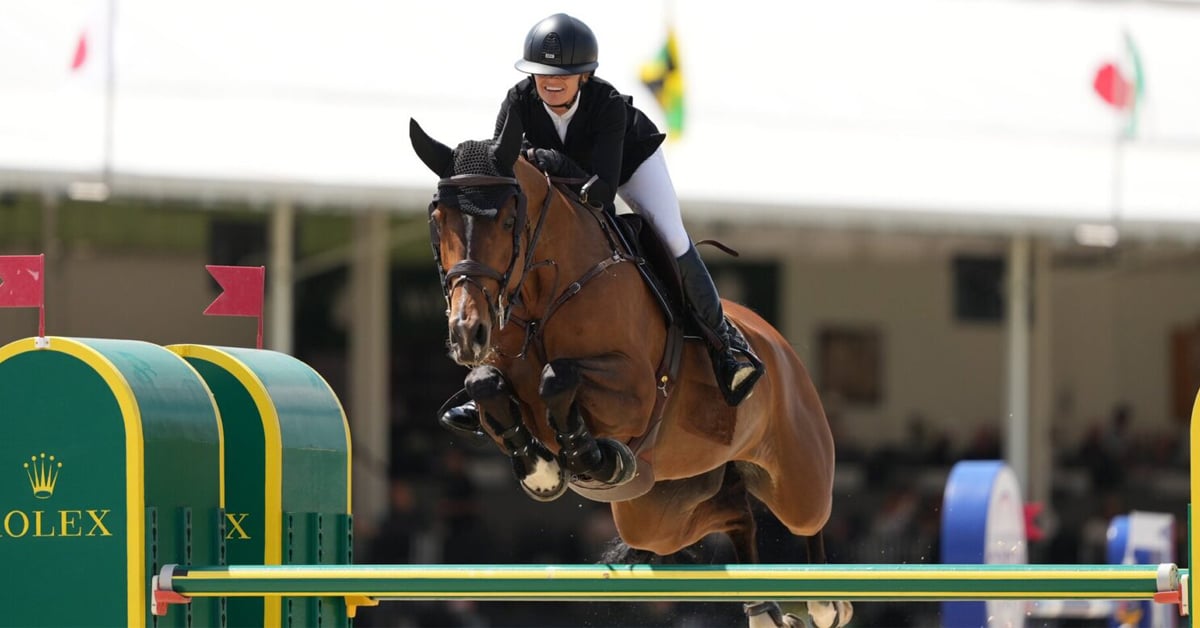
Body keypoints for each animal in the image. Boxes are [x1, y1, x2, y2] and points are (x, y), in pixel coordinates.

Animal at [410, 116, 851, 628]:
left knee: (809, 517)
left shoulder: (636, 393)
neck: (544, 295)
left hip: (795, 474)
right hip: (660, 511)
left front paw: (587, 458)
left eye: (506, 220)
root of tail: (780, 345)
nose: (467, 333)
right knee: (736, 514)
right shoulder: (499, 377)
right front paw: (543, 468)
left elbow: (557, 377)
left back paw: (825, 602)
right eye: (438, 220)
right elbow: (486, 384)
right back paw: (762, 608)